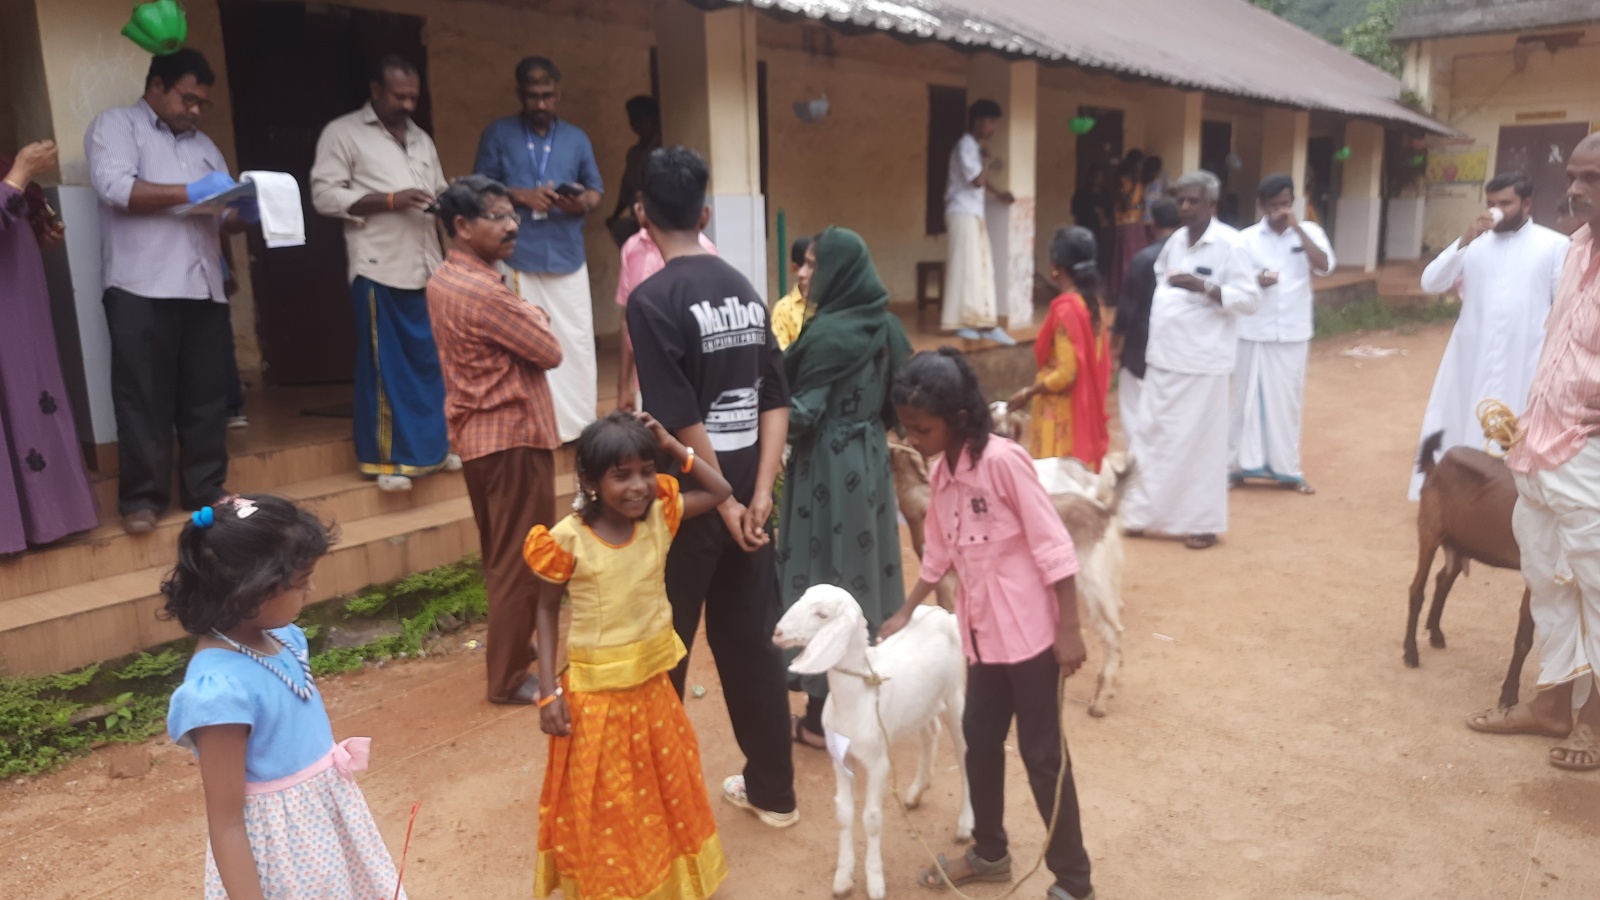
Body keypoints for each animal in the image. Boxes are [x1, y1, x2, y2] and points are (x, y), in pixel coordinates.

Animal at [771, 582, 966, 896]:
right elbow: (843, 812)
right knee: (929, 733)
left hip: (954, 697)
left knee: (964, 755)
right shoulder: (840, 760)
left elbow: (872, 819)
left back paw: (965, 825)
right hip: (921, 705)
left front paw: (875, 880)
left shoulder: (878, 764)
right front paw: (843, 877)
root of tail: (940, 613)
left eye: (822, 614)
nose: (777, 633)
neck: (858, 695)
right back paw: (916, 792)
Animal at [1414, 429, 1536, 707]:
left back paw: (1435, 634)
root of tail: (1435, 467)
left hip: (1460, 544)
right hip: (1429, 533)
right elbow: (1525, 636)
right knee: (1417, 590)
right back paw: (1410, 653)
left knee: (1442, 579)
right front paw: (1508, 695)